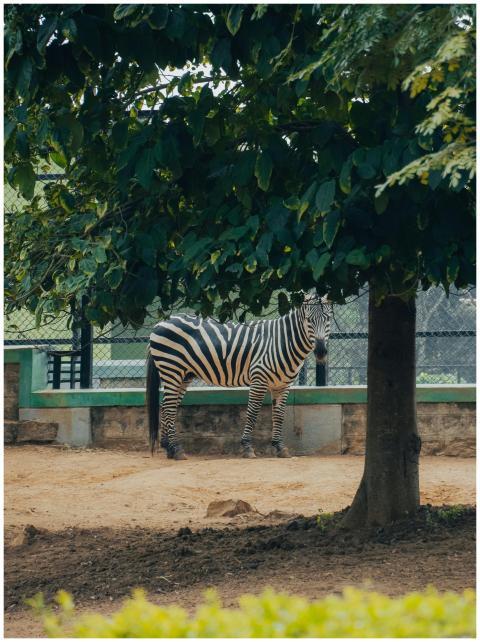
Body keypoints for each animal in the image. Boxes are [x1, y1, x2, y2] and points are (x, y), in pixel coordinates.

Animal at [146, 294, 332, 460]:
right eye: (308, 320)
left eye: (328, 318)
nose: (321, 352)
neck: (282, 341)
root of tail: (162, 322)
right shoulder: (259, 378)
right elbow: (252, 412)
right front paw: (247, 447)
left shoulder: (283, 385)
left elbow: (279, 415)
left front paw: (280, 447)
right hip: (171, 368)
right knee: (169, 408)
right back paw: (176, 449)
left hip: (183, 375)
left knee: (166, 406)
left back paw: (168, 448)